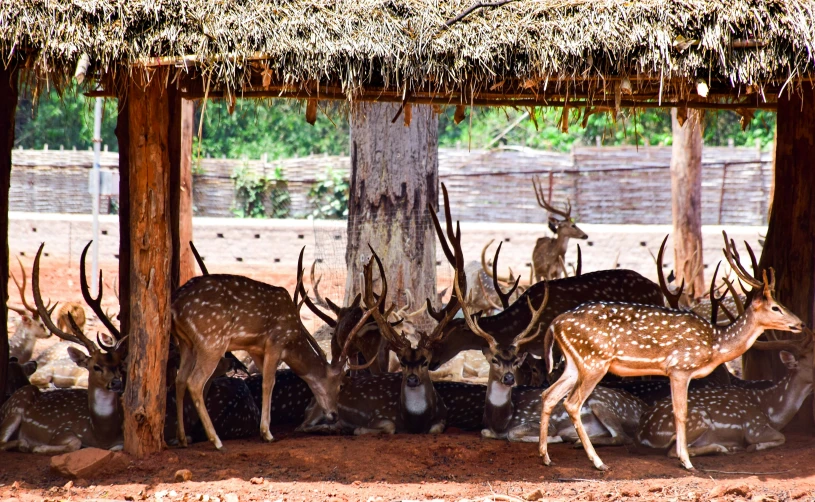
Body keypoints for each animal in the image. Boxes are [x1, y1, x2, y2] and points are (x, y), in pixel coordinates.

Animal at [0, 244, 128, 454]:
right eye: (96, 366)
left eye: (120, 365)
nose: (116, 383)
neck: (100, 433)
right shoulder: (62, 430)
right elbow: (75, 442)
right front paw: (37, 447)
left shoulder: (120, 441)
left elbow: (116, 447)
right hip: (15, 407)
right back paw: (24, 443)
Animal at [171, 247, 380, 452]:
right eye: (340, 385)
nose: (334, 415)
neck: (292, 338)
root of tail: (175, 306)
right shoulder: (276, 342)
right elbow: (268, 382)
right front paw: (267, 433)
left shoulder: (255, 348)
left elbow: (264, 377)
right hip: (212, 341)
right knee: (195, 382)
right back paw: (216, 441)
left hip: (186, 343)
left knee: (180, 379)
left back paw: (182, 438)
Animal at [640, 332, 812, 456]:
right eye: (813, 363)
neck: (772, 411)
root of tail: (644, 433)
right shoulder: (754, 427)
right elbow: (782, 437)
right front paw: (753, 447)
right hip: (698, 419)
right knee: (675, 451)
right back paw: (723, 448)